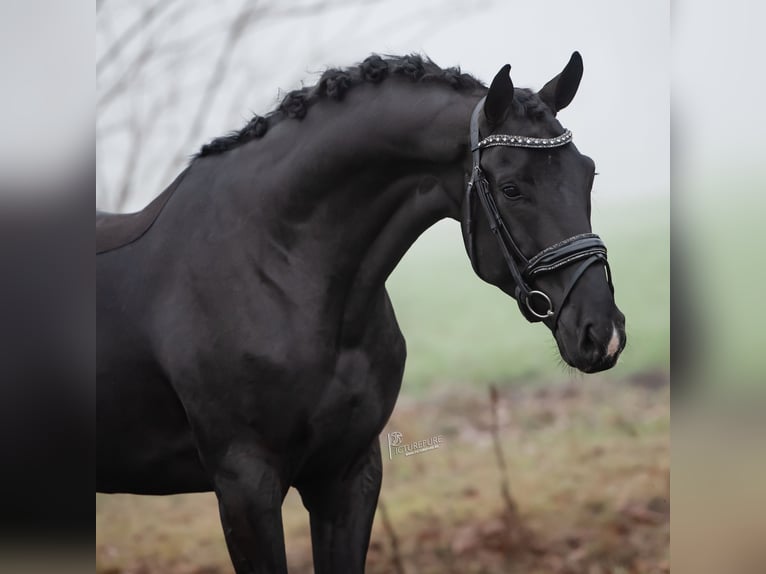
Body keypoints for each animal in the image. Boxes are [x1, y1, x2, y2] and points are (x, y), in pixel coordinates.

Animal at [97, 53, 626, 574]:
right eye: (513, 188)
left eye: (588, 174)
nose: (603, 332)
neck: (276, 265)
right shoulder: (244, 486)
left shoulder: (347, 475)